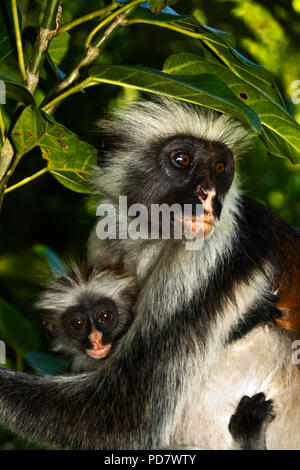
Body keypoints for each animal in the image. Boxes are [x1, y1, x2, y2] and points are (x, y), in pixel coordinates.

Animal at [0, 97, 298, 450]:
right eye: (182, 159)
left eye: (220, 168)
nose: (209, 194)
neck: (153, 236)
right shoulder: (105, 238)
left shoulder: (214, 250)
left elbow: (126, 416)